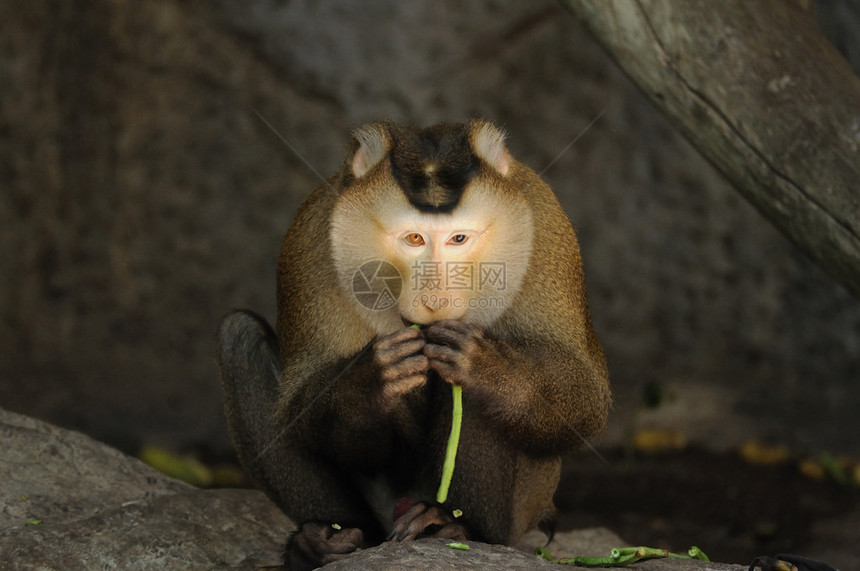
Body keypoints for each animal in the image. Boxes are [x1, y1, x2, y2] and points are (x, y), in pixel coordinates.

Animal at [220, 118, 612, 568]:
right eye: (414, 239)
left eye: (459, 239)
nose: (435, 299)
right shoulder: (311, 237)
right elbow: (301, 404)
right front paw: (369, 383)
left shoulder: (546, 228)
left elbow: (584, 398)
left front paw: (488, 366)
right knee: (239, 337)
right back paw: (328, 539)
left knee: (477, 397)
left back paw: (458, 527)